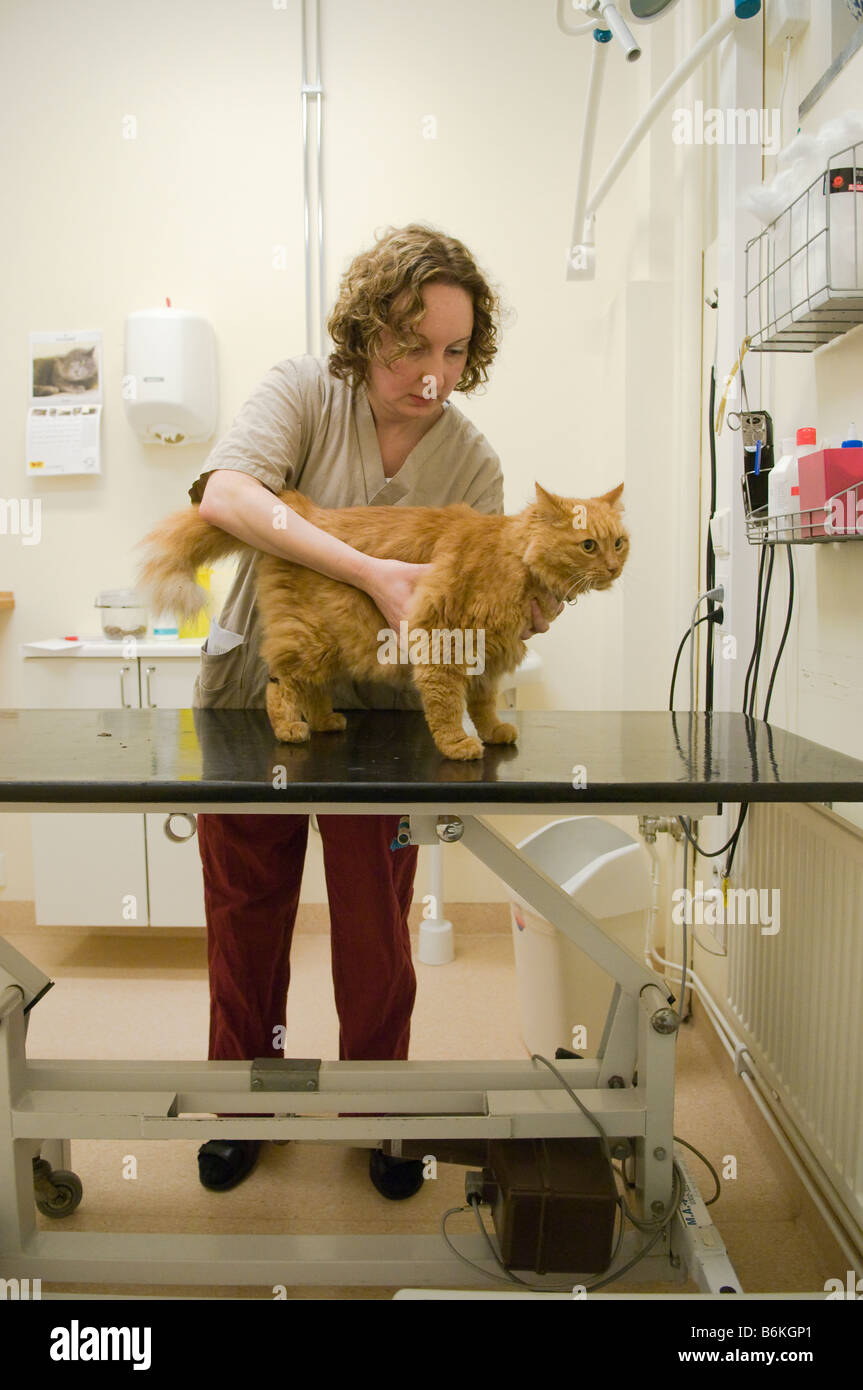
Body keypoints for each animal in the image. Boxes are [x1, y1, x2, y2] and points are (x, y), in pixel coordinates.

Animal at [138, 480, 628, 761]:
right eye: (588, 545)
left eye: (619, 543)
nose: (613, 568)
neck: (515, 559)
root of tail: (305, 511)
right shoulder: (444, 642)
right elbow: (447, 706)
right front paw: (457, 745)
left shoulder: (487, 658)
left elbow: (483, 704)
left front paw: (492, 732)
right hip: (310, 640)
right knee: (280, 687)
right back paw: (291, 728)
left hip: (328, 645)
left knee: (312, 689)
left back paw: (325, 721)